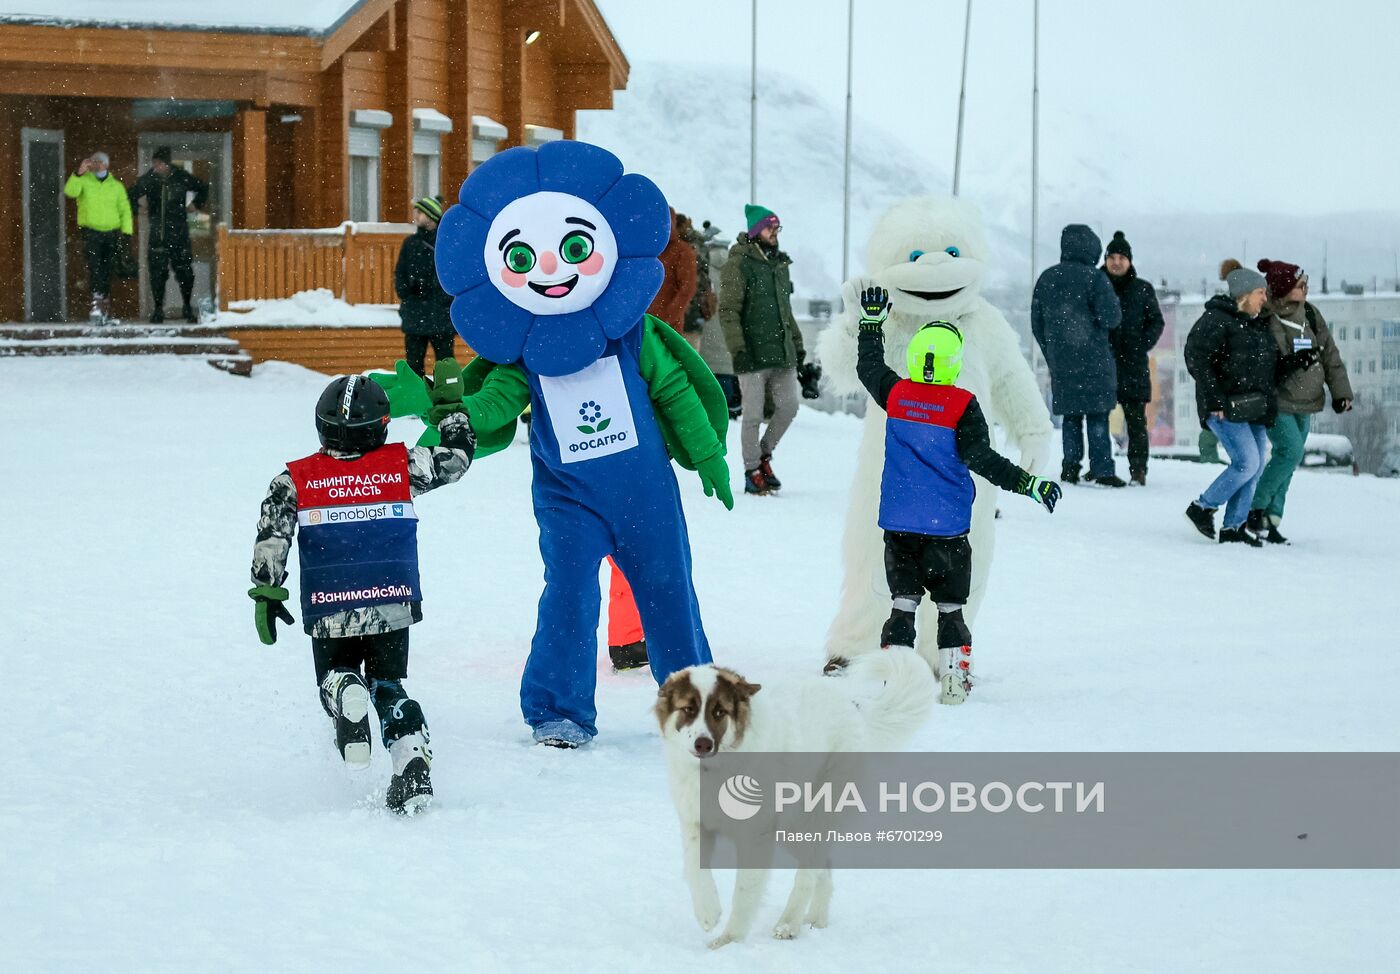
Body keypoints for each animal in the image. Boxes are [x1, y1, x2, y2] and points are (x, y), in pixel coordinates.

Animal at [652, 649, 935, 946]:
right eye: (688, 709)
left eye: (719, 712)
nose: (703, 743)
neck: (717, 769)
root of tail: (853, 710)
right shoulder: (695, 822)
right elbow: (694, 868)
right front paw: (708, 912)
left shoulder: (756, 836)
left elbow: (744, 890)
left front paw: (730, 940)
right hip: (791, 828)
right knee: (823, 864)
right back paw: (817, 918)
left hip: (817, 814)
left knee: (807, 872)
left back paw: (789, 924)